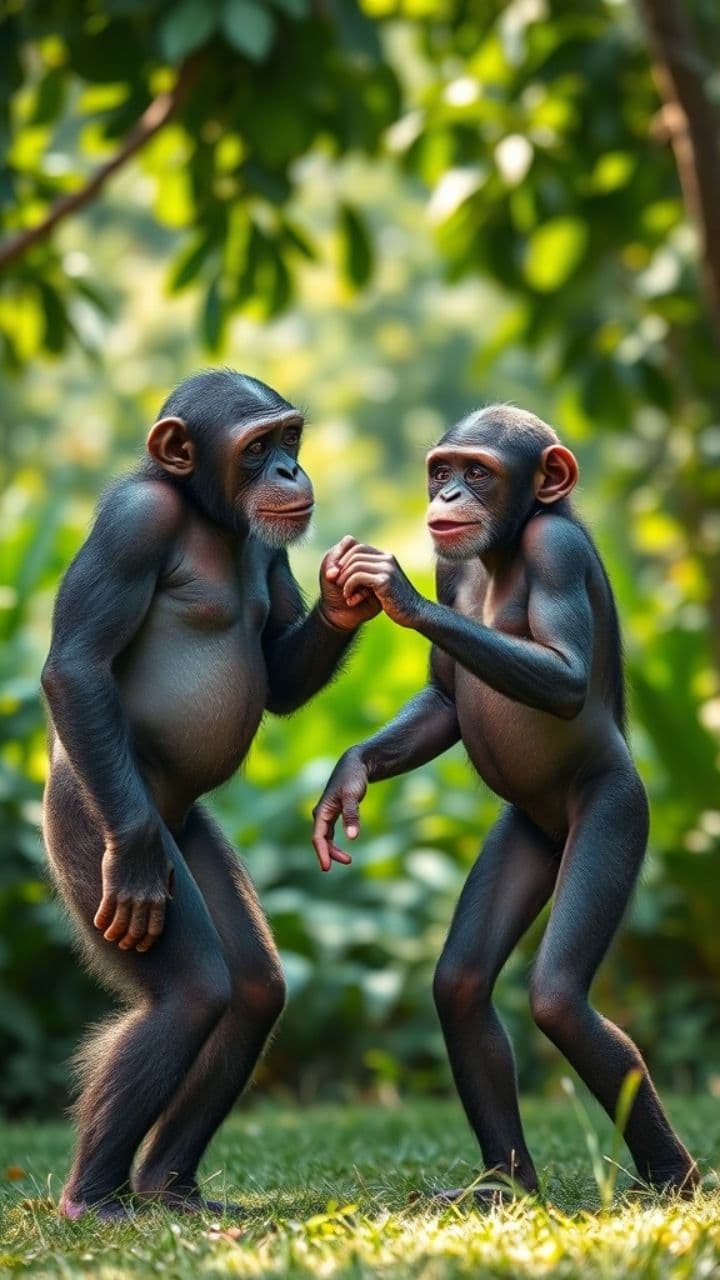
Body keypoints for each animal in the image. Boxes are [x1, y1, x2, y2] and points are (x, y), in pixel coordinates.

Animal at [41, 368, 380, 1220]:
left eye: (289, 437)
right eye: (256, 448)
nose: (289, 470)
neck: (201, 511)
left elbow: (279, 674)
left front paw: (347, 590)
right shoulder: (134, 524)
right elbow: (77, 666)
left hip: (191, 835)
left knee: (254, 988)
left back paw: (170, 1185)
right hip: (90, 831)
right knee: (193, 992)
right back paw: (94, 1199)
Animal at [311, 404, 699, 1201]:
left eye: (479, 473)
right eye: (442, 471)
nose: (451, 496)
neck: (505, 547)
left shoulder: (556, 552)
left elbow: (565, 672)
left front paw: (394, 590)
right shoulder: (451, 564)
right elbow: (444, 698)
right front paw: (348, 779)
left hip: (616, 814)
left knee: (558, 1000)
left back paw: (675, 1179)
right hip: (525, 835)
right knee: (460, 985)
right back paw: (506, 1186)